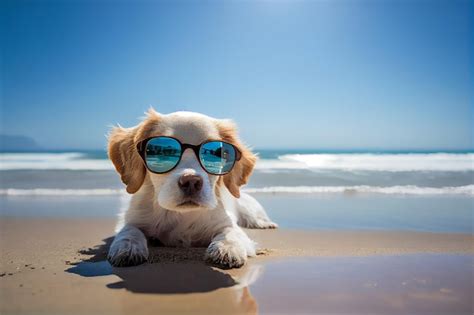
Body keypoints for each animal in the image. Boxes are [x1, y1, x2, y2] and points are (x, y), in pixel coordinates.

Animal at [107, 109, 278, 270]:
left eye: (218, 154)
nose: (191, 181)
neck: (182, 215)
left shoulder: (225, 222)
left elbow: (230, 233)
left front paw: (227, 248)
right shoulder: (133, 219)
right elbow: (130, 231)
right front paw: (128, 246)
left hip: (248, 206)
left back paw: (265, 223)